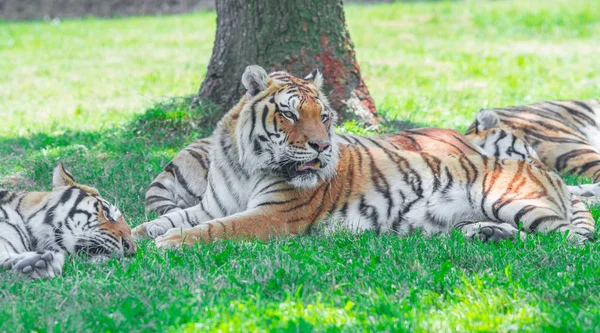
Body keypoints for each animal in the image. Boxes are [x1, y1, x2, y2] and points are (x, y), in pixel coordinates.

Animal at [132, 65, 596, 246]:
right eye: (289, 113)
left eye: (324, 116)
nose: (321, 146)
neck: (246, 165)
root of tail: (543, 170)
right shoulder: (209, 205)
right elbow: (158, 221)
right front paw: (126, 236)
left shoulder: (274, 215)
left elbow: (214, 230)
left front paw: (168, 244)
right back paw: (489, 234)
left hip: (508, 198)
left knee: (566, 241)